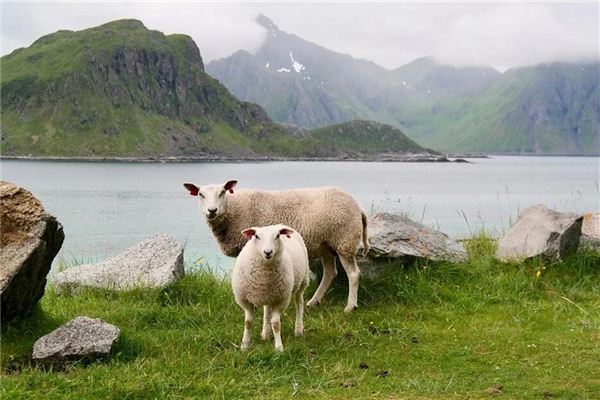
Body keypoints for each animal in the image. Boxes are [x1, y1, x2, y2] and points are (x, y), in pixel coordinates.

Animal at [184, 180, 370, 314]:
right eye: (200, 194)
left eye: (222, 192)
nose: (212, 210)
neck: (234, 210)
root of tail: (358, 206)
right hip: (327, 245)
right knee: (330, 273)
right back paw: (313, 302)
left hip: (344, 241)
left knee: (354, 274)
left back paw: (350, 307)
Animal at [232, 223, 310, 352]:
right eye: (257, 236)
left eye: (277, 236)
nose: (268, 252)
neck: (264, 274)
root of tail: (280, 224)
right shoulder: (244, 300)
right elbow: (248, 322)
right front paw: (245, 345)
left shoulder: (282, 299)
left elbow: (276, 324)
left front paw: (279, 347)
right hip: (269, 294)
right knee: (267, 309)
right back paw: (266, 333)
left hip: (303, 281)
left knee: (299, 303)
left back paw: (298, 330)